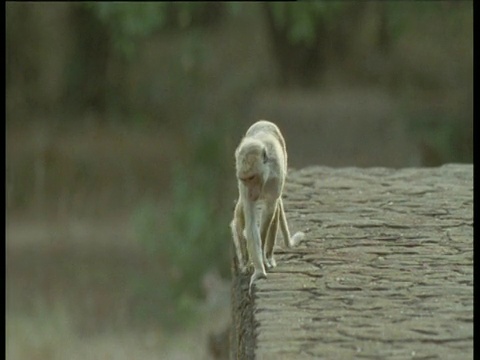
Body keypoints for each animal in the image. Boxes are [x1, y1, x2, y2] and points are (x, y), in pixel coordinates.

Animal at [231, 119, 306, 294]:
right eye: (245, 179)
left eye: (252, 177)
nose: (252, 193)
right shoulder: (243, 186)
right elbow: (251, 222)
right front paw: (258, 270)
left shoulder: (276, 176)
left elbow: (270, 211)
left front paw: (261, 263)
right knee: (241, 212)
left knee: (275, 210)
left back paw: (268, 255)